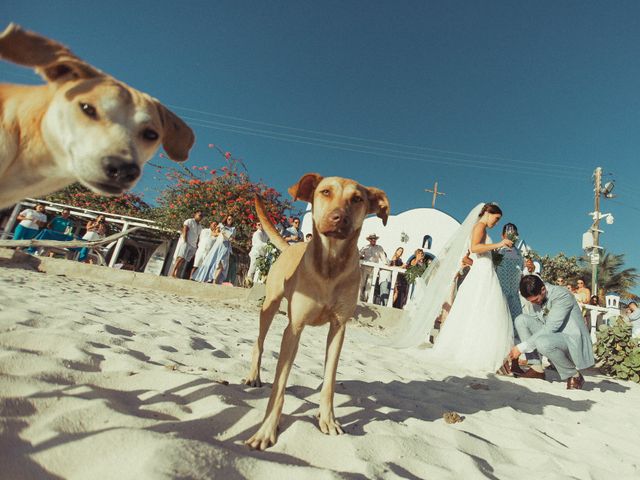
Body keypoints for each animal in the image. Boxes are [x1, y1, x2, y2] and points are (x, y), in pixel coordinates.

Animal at [245, 172, 390, 450]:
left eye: (357, 199)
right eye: (325, 192)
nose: (339, 218)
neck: (330, 265)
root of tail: (291, 246)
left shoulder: (339, 328)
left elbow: (329, 381)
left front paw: (328, 419)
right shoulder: (294, 328)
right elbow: (279, 386)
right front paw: (266, 429)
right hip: (270, 306)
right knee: (259, 342)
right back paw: (253, 376)